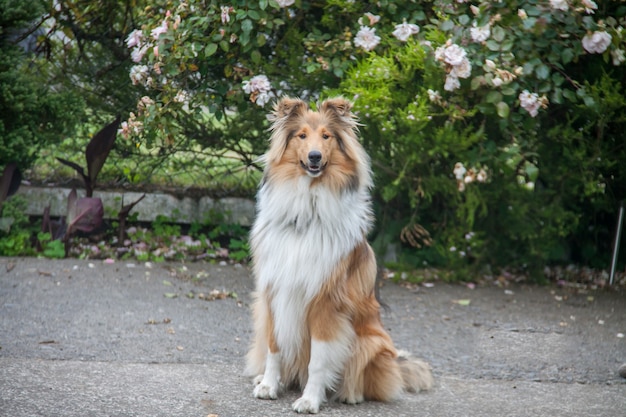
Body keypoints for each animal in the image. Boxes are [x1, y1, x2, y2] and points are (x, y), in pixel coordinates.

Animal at [246, 96, 432, 412]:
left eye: (326, 136)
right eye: (302, 135)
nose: (314, 157)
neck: (306, 215)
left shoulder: (326, 303)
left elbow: (319, 361)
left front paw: (310, 400)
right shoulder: (272, 294)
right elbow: (274, 347)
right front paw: (269, 385)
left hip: (370, 341)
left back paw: (349, 394)